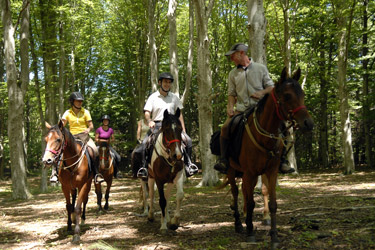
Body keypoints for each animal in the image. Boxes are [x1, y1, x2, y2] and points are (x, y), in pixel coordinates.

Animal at [225, 67, 316, 248]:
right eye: (287, 95)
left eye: (302, 94)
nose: (308, 123)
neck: (265, 136)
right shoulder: (250, 173)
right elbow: (251, 202)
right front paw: (250, 232)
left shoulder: (271, 172)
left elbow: (272, 203)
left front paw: (274, 236)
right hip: (232, 171)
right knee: (235, 192)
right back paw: (239, 224)